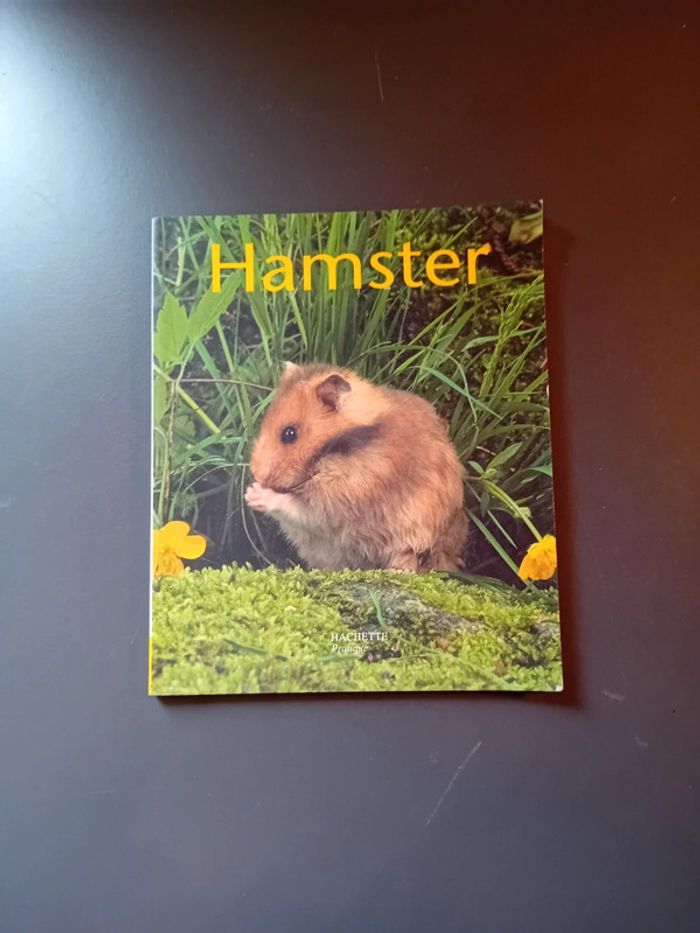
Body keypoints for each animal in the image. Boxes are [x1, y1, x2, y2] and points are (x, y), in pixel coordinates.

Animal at [245, 362, 468, 572]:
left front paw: (254, 494)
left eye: (289, 434)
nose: (258, 475)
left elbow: (297, 505)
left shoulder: (341, 497)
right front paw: (250, 492)